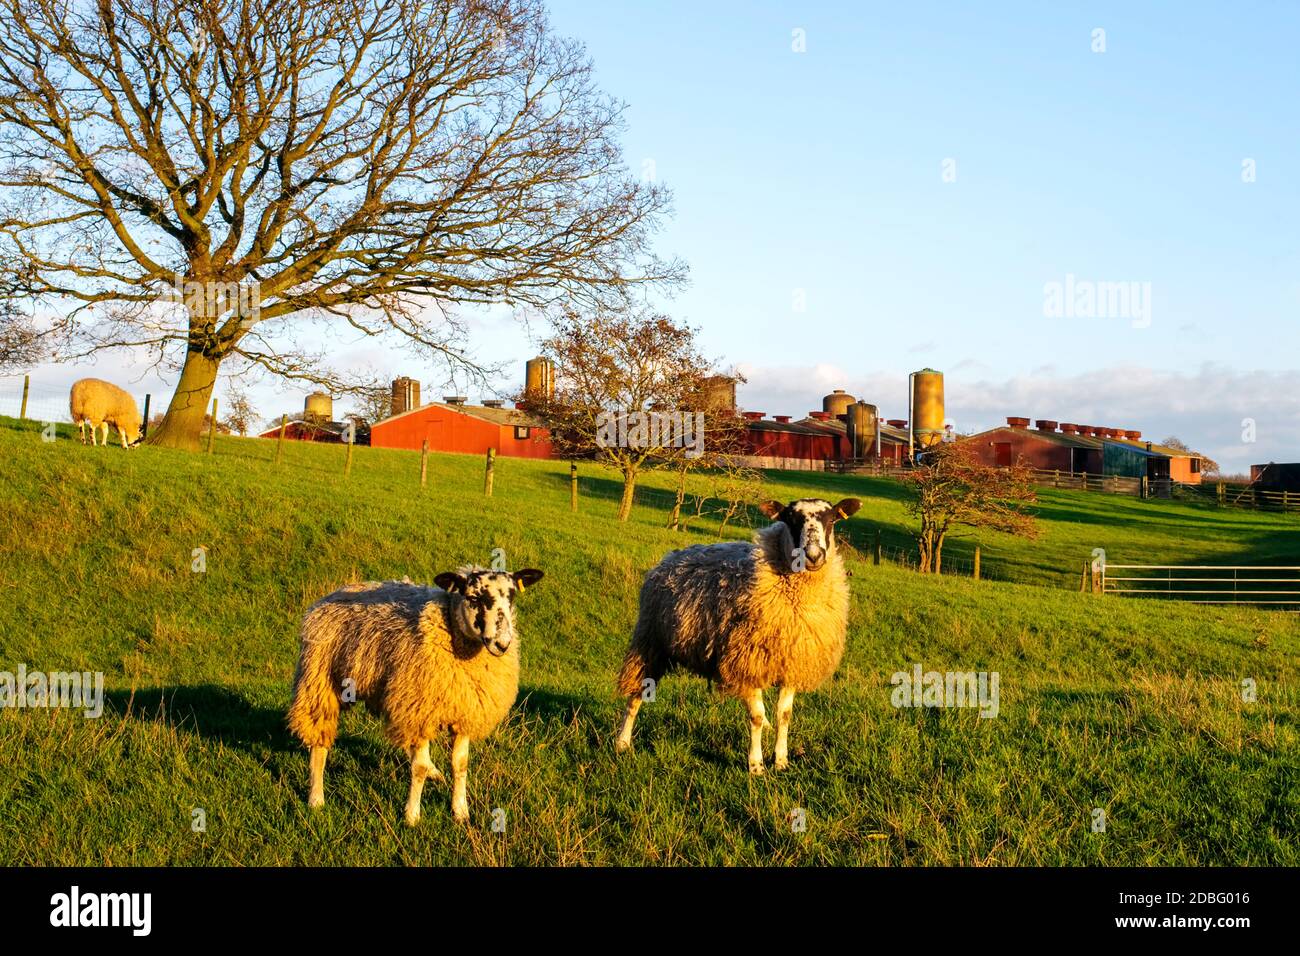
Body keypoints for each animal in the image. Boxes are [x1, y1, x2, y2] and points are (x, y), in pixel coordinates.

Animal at [288, 564, 543, 827]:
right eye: (474, 598)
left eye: (511, 597)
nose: (502, 644)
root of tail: (341, 589)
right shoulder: (420, 709)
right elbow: (417, 768)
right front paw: (412, 816)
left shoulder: (463, 711)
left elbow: (460, 764)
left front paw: (460, 811)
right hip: (319, 681)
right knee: (319, 741)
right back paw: (316, 798)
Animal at [618, 496, 863, 775]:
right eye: (790, 519)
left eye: (832, 519)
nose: (813, 555)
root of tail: (672, 557)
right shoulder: (746, 662)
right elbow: (754, 717)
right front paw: (756, 766)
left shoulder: (791, 662)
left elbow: (784, 715)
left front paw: (781, 760)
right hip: (650, 641)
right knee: (637, 694)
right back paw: (622, 742)